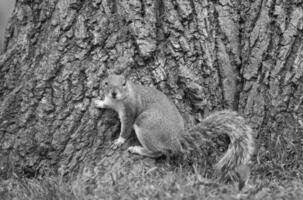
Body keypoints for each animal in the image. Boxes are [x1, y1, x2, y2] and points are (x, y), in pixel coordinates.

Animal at [94, 74, 255, 188]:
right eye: (106, 83)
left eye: (124, 83)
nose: (113, 93)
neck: (119, 100)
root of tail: (175, 140)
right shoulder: (112, 102)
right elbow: (106, 103)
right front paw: (99, 102)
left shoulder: (129, 112)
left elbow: (126, 129)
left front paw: (119, 141)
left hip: (144, 124)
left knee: (157, 152)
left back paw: (138, 150)